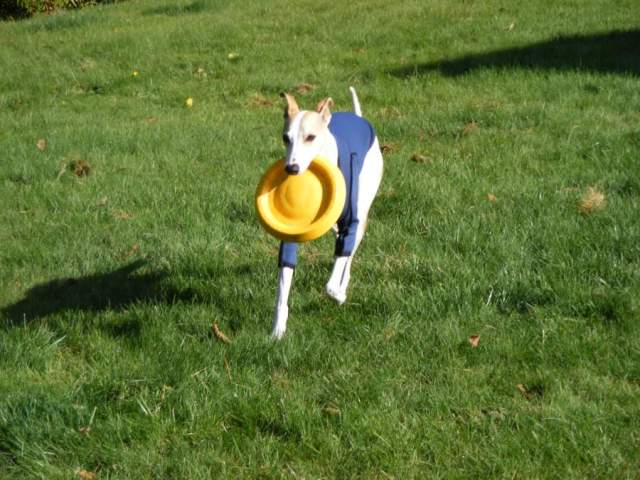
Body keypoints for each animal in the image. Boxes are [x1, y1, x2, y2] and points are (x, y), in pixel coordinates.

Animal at [268, 87, 380, 342]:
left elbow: (332, 281)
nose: (291, 168)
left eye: (310, 137)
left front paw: (338, 294)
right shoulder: (290, 234)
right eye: (285, 138)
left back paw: (343, 285)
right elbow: (283, 284)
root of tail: (357, 117)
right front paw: (277, 330)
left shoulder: (351, 224)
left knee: (349, 254)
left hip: (363, 208)